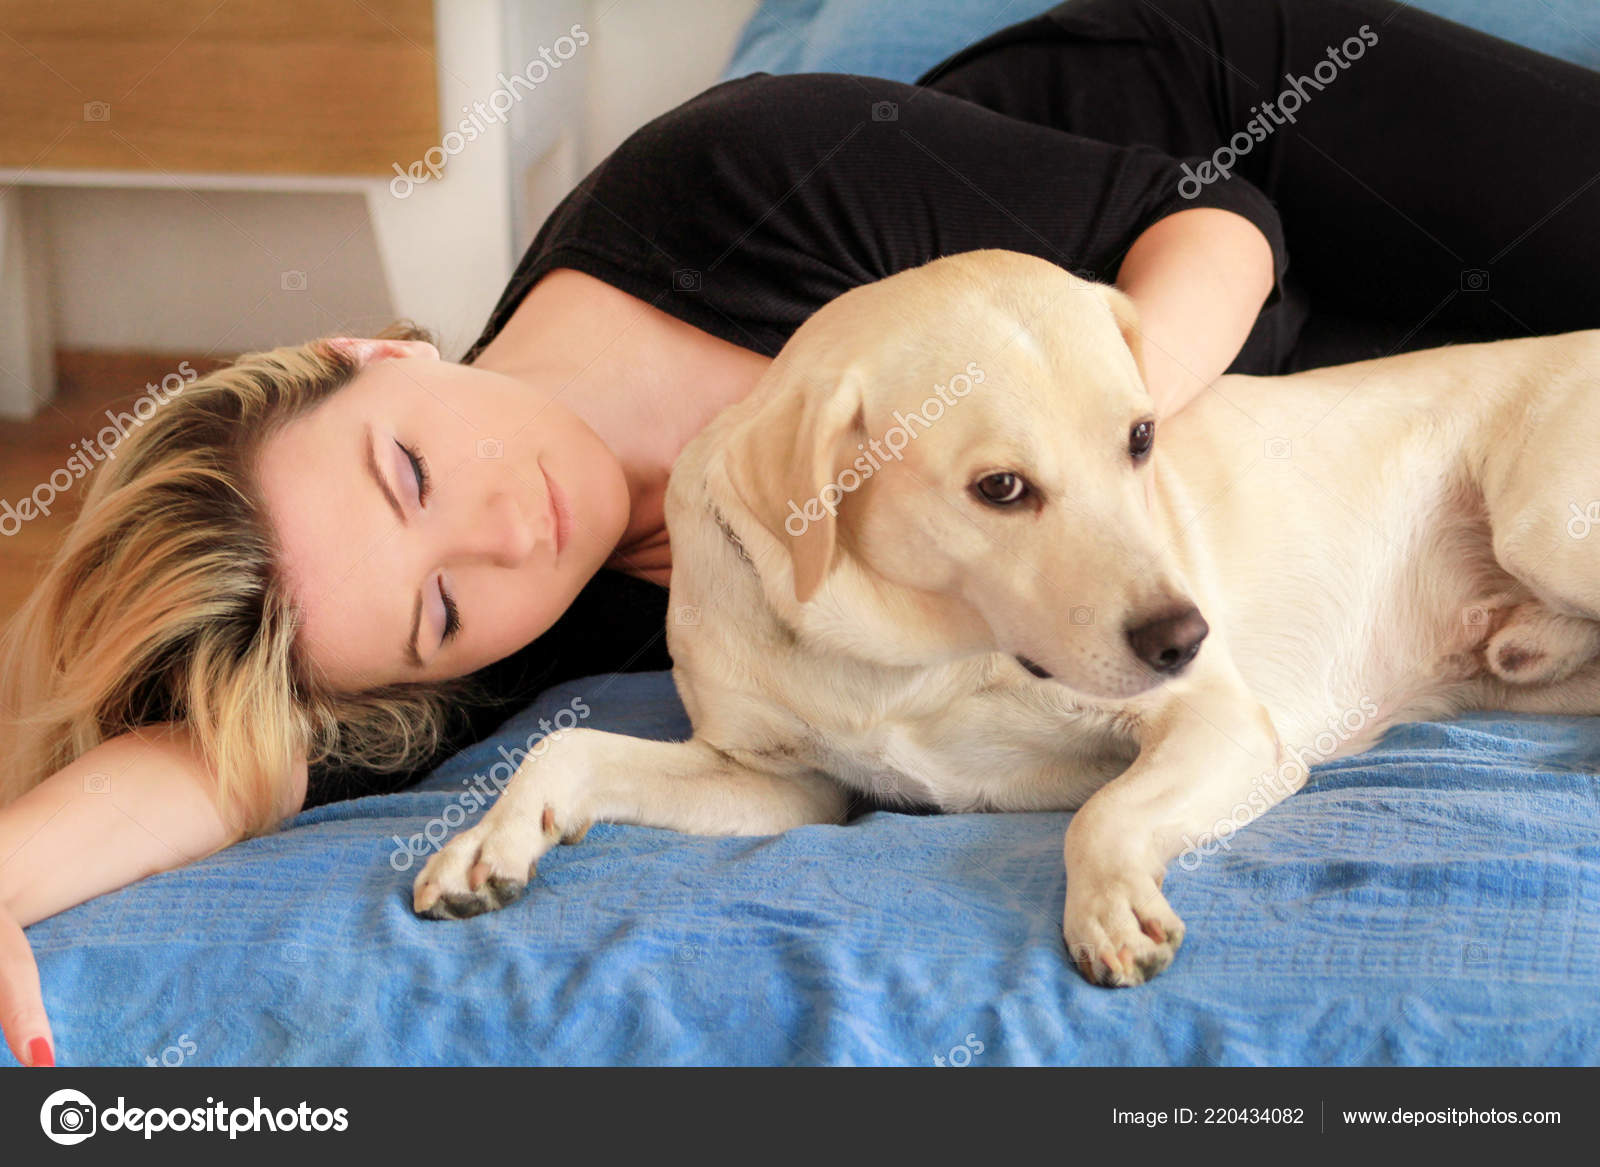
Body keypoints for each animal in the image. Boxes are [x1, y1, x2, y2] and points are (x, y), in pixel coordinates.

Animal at [416, 246, 1600, 986]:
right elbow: (566, 750)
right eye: (1000, 489)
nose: (1184, 639)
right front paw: (489, 842)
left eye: (1140, 437)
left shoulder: (1219, 723)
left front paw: (1108, 902)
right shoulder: (780, 786)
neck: (910, 660)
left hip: (1543, 523)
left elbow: (1102, 813)